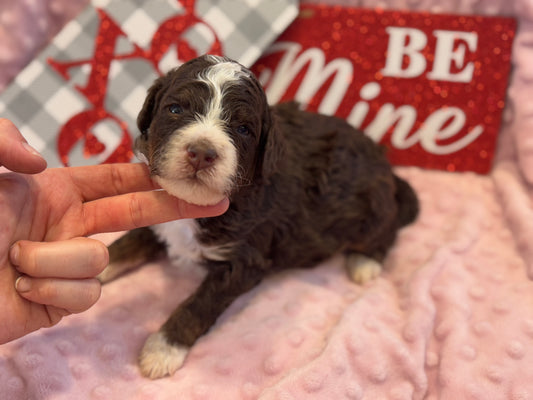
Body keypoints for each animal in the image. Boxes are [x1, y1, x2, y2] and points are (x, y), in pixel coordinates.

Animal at [97, 54, 418, 378]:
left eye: (243, 129)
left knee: (388, 228)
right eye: (175, 109)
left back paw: (364, 263)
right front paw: (97, 270)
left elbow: (199, 304)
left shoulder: (244, 260)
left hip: (372, 211)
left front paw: (162, 349)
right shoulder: (160, 220)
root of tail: (386, 166)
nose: (201, 153)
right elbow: (124, 245)